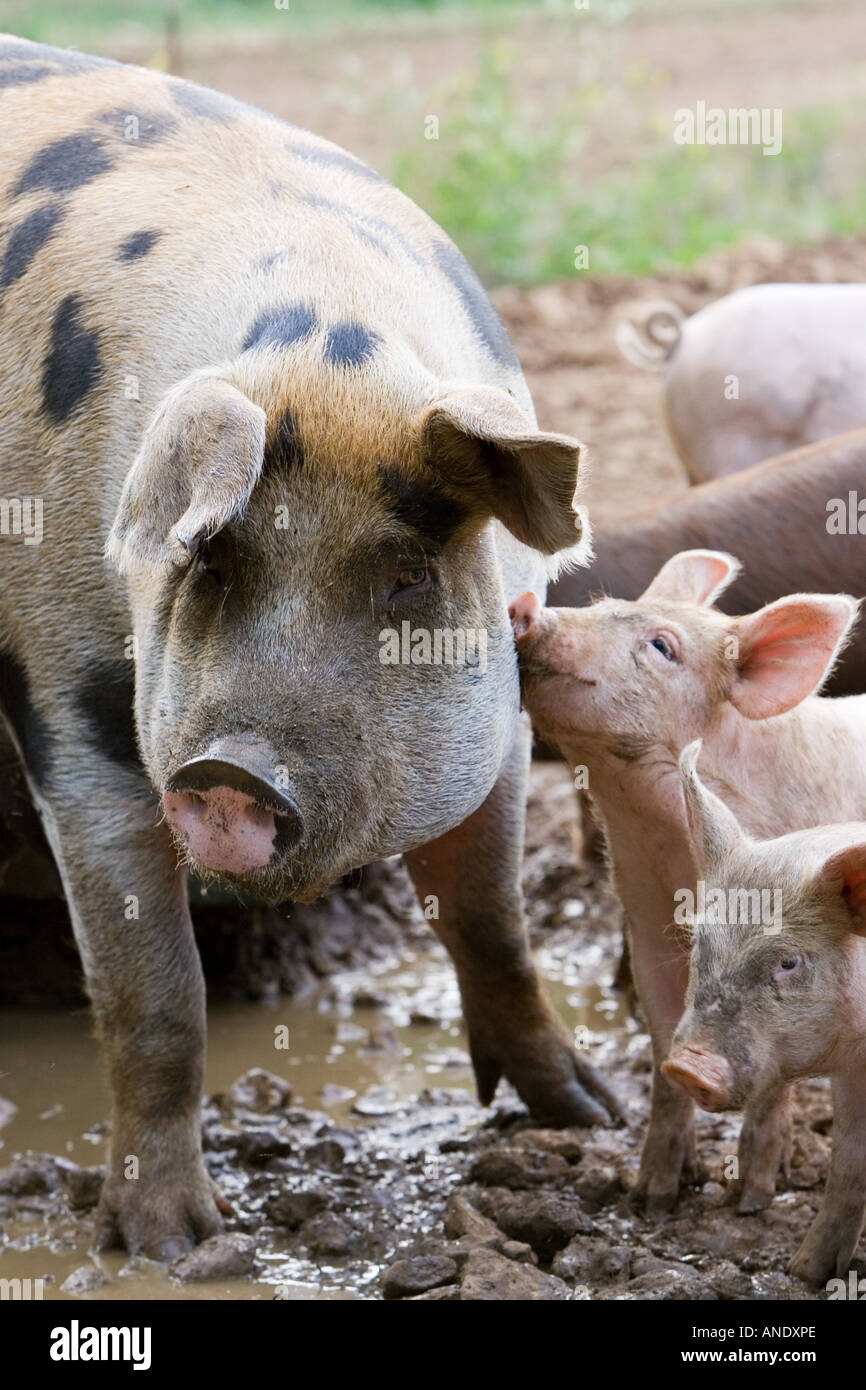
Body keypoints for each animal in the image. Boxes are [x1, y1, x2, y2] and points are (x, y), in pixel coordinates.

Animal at [0, 37, 615, 1259]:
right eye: (207, 563)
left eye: (405, 574)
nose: (229, 771)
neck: (324, 359)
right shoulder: (65, 712)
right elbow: (153, 998)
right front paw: (177, 1248)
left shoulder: (505, 704)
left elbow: (493, 921)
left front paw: (589, 1118)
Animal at [511, 551, 863, 1212]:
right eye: (600, 606)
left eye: (661, 646)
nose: (525, 606)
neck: (668, 846)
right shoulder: (646, 920)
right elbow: (660, 1043)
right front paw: (651, 1197)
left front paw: (750, 1199)